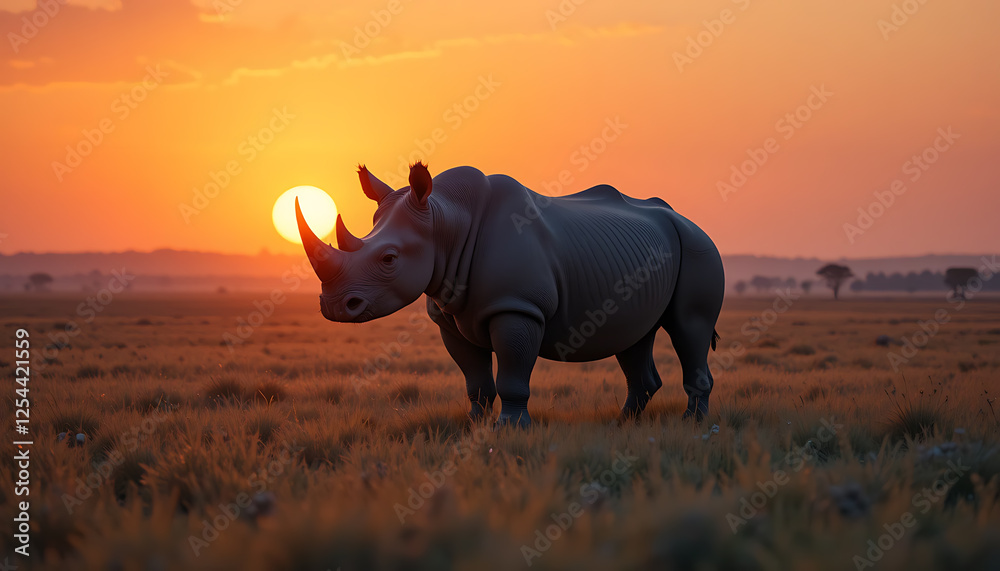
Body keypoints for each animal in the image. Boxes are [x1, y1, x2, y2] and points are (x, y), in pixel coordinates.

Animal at [296, 162, 725, 427]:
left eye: (388, 259)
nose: (334, 306)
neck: (445, 221)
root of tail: (689, 221)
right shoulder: (448, 314)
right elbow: (475, 379)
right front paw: (473, 425)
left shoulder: (517, 307)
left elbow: (513, 373)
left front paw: (511, 428)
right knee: (634, 336)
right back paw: (623, 424)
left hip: (698, 246)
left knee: (689, 327)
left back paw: (693, 423)